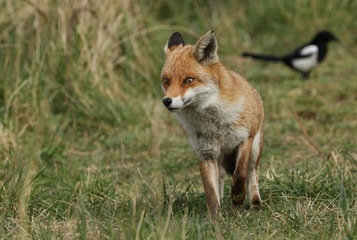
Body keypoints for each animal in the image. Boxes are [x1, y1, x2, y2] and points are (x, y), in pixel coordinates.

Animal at [160, 31, 262, 218]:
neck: (214, 125)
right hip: (219, 158)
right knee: (220, 179)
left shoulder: (245, 139)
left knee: (252, 173)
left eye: (189, 80)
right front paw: (215, 219)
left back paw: (255, 203)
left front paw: (238, 197)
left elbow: (240, 174)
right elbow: (210, 191)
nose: (167, 101)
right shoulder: (205, 153)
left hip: (255, 148)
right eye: (166, 81)